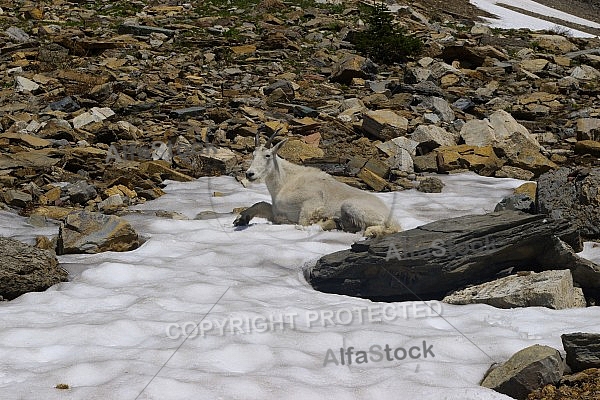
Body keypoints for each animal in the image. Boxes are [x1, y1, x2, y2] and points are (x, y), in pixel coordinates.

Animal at [233, 134, 398, 238]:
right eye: (253, 155)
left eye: (267, 155)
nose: (249, 174)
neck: (284, 182)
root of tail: (391, 215)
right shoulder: (276, 209)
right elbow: (261, 204)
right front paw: (240, 220)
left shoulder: (312, 203)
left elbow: (301, 223)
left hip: (351, 205)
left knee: (388, 227)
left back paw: (369, 232)